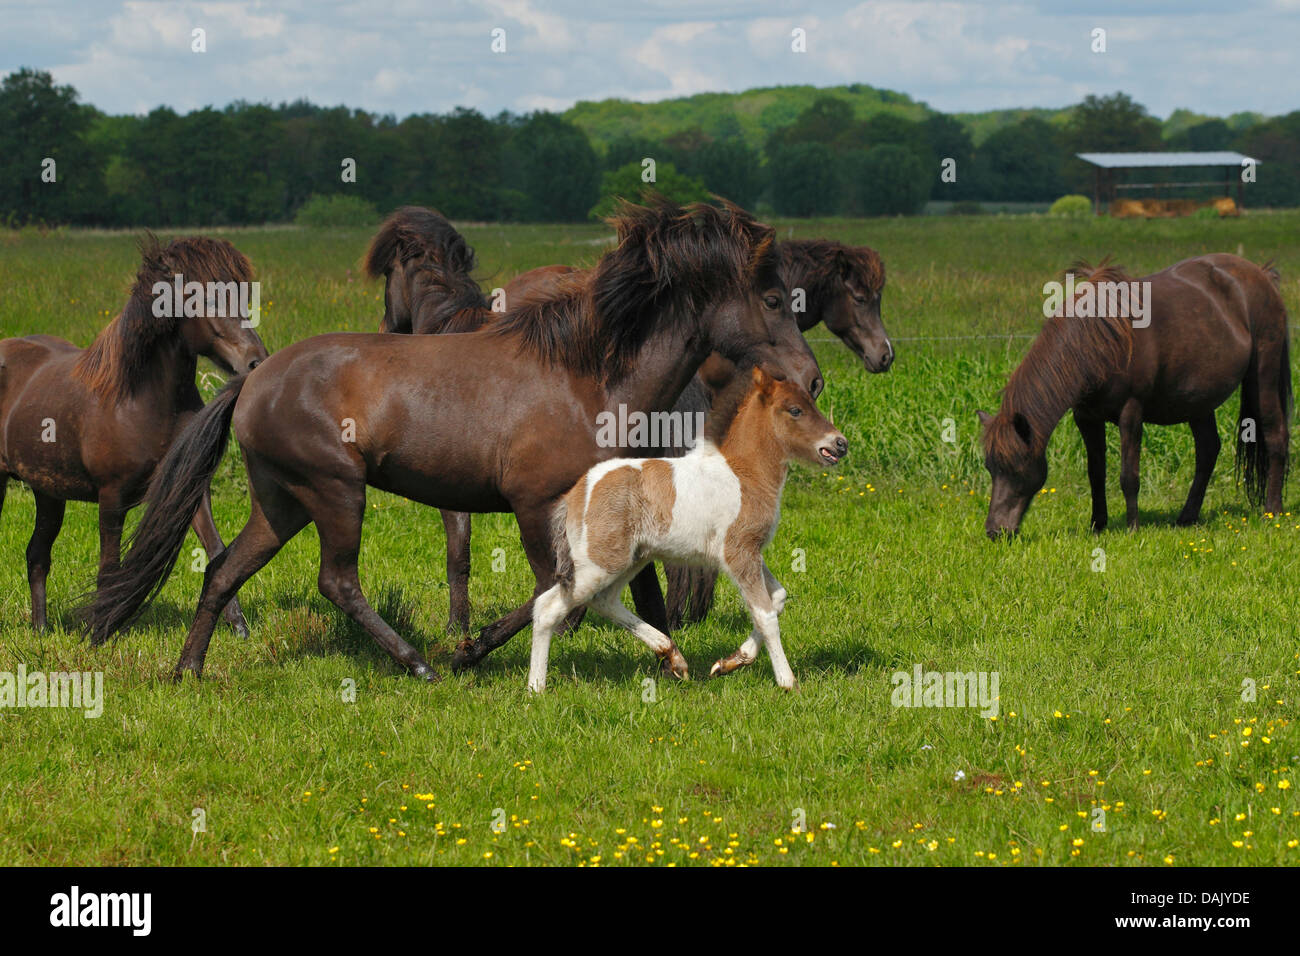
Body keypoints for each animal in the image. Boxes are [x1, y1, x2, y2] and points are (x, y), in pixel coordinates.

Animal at [0, 235, 266, 632]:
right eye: (202, 298)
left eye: (243, 295)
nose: (256, 361)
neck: (142, 402)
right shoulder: (112, 498)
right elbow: (108, 570)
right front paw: (99, 631)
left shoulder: (189, 489)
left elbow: (216, 551)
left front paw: (239, 630)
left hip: (47, 491)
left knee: (38, 553)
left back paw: (41, 629)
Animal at [86, 201, 821, 681]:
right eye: (773, 300)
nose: (811, 378)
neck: (586, 376)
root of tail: (252, 379)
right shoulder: (535, 505)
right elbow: (555, 592)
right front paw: (471, 648)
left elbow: (627, 592)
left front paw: (678, 659)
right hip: (334, 490)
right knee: (336, 580)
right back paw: (419, 665)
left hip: (283, 501)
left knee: (224, 570)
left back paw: (189, 670)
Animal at [525, 369, 842, 697]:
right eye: (795, 410)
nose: (840, 444)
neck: (744, 473)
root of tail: (576, 494)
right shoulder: (739, 553)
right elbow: (765, 614)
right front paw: (787, 681)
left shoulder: (750, 552)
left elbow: (778, 597)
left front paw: (730, 663)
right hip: (598, 563)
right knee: (547, 607)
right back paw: (536, 688)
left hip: (631, 559)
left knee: (605, 600)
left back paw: (673, 656)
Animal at [977, 254, 1289, 538]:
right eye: (990, 467)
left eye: (1016, 467)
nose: (995, 531)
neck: (1099, 341)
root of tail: (1261, 275)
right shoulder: (1086, 418)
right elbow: (1096, 472)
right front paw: (1097, 525)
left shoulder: (1131, 412)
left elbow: (1129, 476)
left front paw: (1132, 529)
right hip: (1199, 401)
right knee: (1208, 450)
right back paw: (1187, 517)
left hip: (1262, 376)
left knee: (1275, 437)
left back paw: (1271, 512)